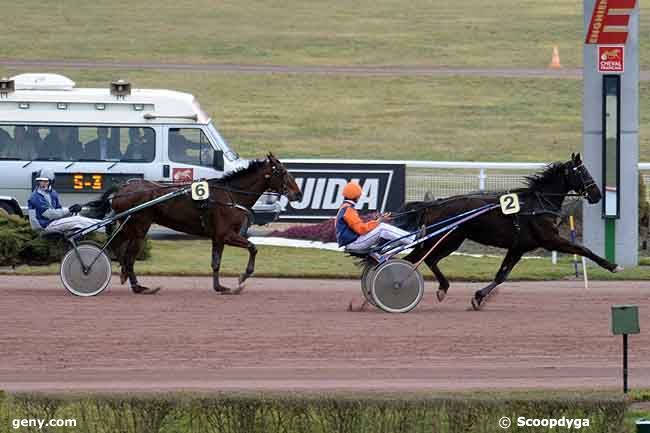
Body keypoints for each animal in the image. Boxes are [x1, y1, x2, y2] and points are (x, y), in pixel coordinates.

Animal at [90, 153, 300, 294]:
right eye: (282, 172)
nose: (298, 194)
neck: (231, 195)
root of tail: (122, 189)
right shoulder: (226, 234)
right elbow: (253, 247)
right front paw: (242, 276)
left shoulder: (218, 237)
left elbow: (216, 262)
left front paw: (220, 287)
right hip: (139, 228)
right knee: (128, 256)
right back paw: (137, 286)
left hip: (128, 226)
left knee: (117, 247)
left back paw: (124, 276)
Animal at [398, 154, 620, 308]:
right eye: (583, 172)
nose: (597, 194)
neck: (537, 204)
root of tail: (433, 204)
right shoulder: (550, 240)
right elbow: (583, 249)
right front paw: (612, 265)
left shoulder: (518, 247)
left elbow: (501, 276)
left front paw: (479, 297)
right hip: (448, 239)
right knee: (421, 259)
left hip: (448, 240)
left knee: (424, 259)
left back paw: (438, 288)